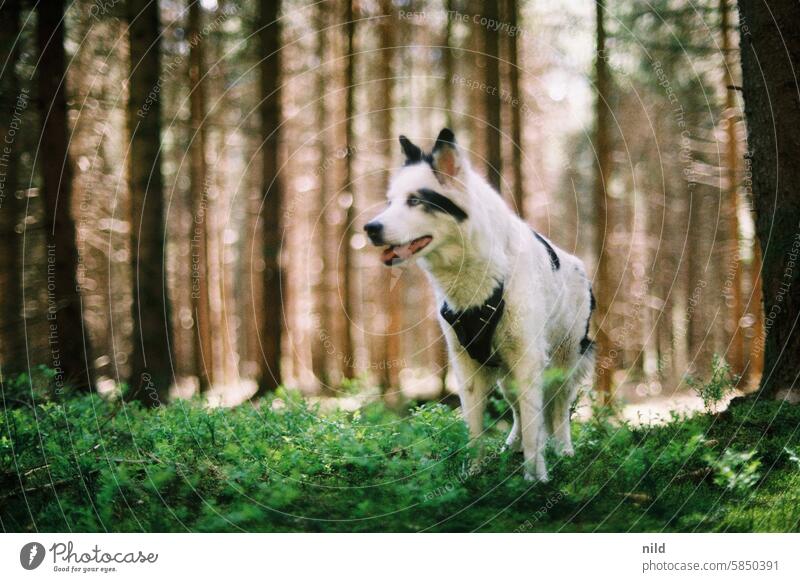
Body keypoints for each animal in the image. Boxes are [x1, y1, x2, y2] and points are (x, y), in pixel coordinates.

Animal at [364, 129, 592, 484]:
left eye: (415, 200)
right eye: (391, 202)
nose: (370, 228)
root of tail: (579, 264)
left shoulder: (528, 360)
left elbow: (535, 425)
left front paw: (535, 480)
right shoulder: (467, 365)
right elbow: (475, 431)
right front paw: (474, 473)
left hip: (563, 363)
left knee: (557, 410)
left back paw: (564, 451)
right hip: (504, 375)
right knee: (519, 412)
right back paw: (511, 447)